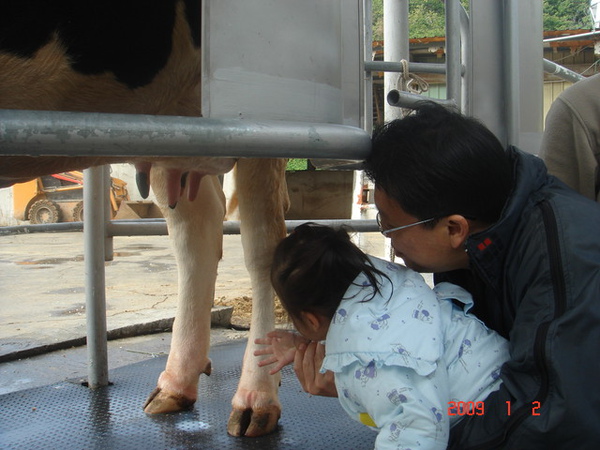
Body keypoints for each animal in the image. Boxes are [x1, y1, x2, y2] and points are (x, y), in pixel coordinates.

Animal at [0, 0, 288, 436]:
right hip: (174, 130)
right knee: (197, 233)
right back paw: (176, 384)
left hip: (264, 105)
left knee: (262, 244)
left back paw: (256, 397)